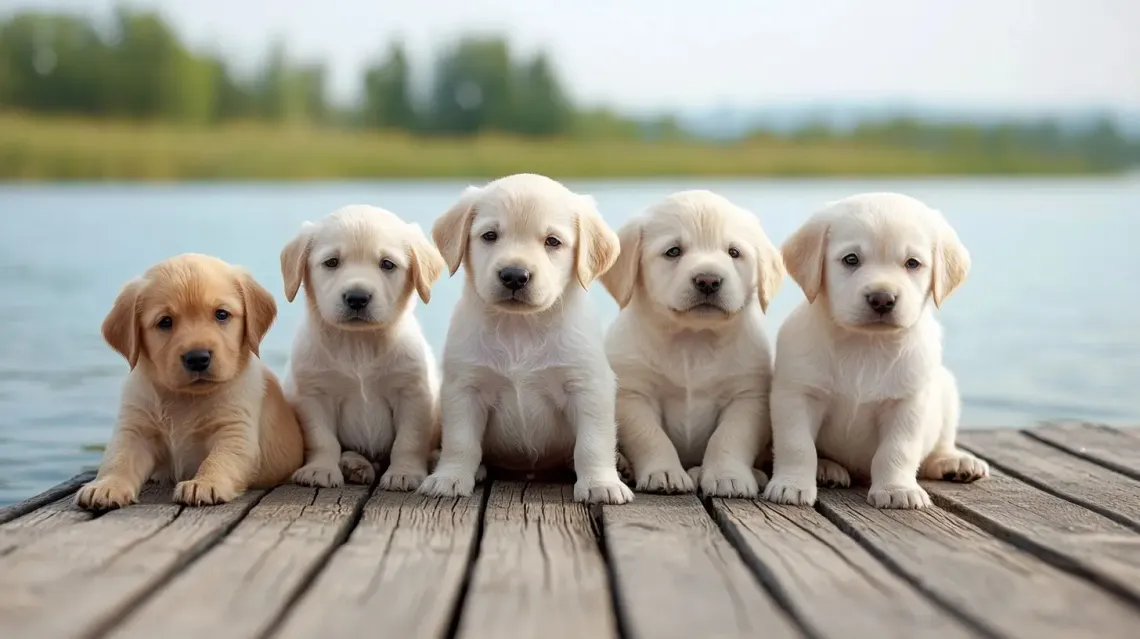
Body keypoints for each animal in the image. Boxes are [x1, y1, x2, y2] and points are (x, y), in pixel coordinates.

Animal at [75, 254, 307, 508]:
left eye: (221, 314)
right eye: (165, 322)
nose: (197, 358)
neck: (183, 399)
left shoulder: (235, 430)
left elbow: (219, 459)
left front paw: (204, 484)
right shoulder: (135, 429)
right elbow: (119, 458)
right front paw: (106, 486)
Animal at [280, 202, 444, 487]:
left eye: (387, 264)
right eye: (331, 262)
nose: (357, 298)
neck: (358, 343)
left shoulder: (412, 393)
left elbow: (408, 440)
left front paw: (404, 473)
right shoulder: (313, 394)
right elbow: (322, 439)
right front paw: (320, 469)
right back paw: (354, 464)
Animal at [417, 173, 633, 503]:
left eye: (552, 241)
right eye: (490, 235)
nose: (514, 276)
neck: (520, 327)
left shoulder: (587, 386)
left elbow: (592, 442)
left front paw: (600, 483)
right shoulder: (465, 388)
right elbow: (460, 440)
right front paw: (450, 477)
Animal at [606, 189, 784, 498]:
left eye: (734, 252)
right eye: (673, 251)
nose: (708, 280)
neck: (693, 339)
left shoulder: (747, 396)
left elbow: (728, 437)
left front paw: (727, 476)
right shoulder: (633, 394)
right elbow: (651, 437)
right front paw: (665, 472)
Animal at [766, 191, 989, 510]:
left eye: (912, 263)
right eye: (851, 259)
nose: (882, 299)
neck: (865, 344)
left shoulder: (907, 403)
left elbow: (897, 450)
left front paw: (897, 489)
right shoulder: (797, 394)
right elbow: (797, 445)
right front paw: (792, 484)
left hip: (946, 387)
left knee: (939, 444)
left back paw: (954, 462)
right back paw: (827, 469)